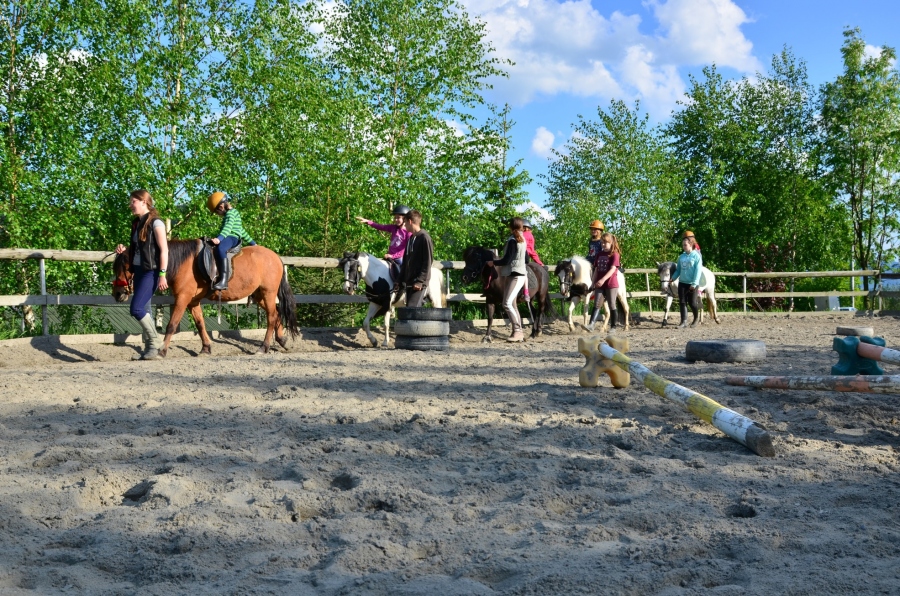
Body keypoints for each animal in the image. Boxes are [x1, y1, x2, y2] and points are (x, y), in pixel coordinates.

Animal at [112, 240, 298, 356]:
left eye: (126, 267)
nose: (117, 293)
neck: (181, 263)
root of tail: (275, 257)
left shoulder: (182, 298)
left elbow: (172, 325)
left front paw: (162, 350)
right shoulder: (193, 301)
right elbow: (200, 324)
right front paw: (206, 348)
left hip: (268, 293)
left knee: (272, 317)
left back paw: (263, 347)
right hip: (259, 295)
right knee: (276, 314)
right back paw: (282, 340)